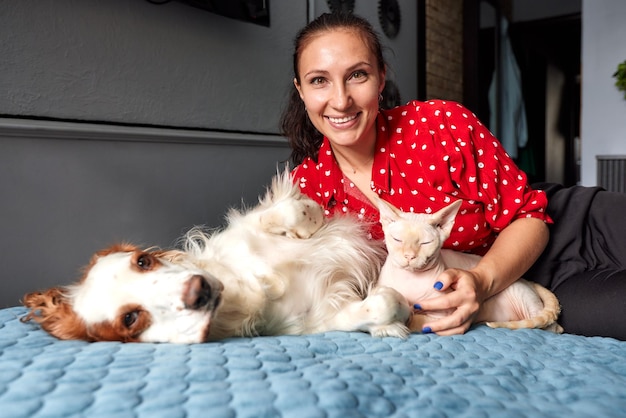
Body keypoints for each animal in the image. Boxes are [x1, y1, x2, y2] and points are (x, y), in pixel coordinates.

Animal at [20, 171, 410, 342]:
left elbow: (284, 212)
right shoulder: (313, 321)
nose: (199, 289)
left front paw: (310, 213)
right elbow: (379, 306)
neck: (246, 284)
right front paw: (397, 311)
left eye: (143, 262)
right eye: (130, 319)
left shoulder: (249, 226)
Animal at [372, 198, 564, 334]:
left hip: (522, 296)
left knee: (553, 327)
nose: (409, 256)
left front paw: (399, 321)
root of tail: (527, 281)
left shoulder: (441, 316)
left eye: (425, 243)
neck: (410, 279)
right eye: (398, 240)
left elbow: (416, 321)